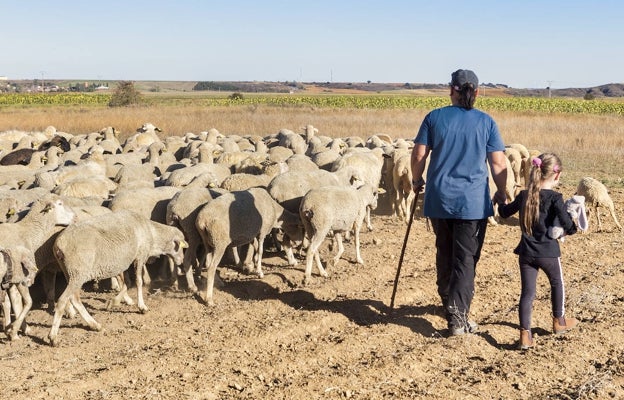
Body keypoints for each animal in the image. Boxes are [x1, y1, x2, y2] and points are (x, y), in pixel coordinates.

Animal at [47, 211, 186, 346]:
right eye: (180, 247)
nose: (182, 261)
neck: (152, 233)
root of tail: (58, 245)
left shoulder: (125, 261)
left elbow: (127, 283)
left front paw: (113, 302)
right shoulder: (139, 256)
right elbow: (138, 282)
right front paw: (142, 307)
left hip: (70, 272)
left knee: (74, 299)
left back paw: (94, 325)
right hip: (78, 273)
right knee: (63, 300)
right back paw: (53, 337)